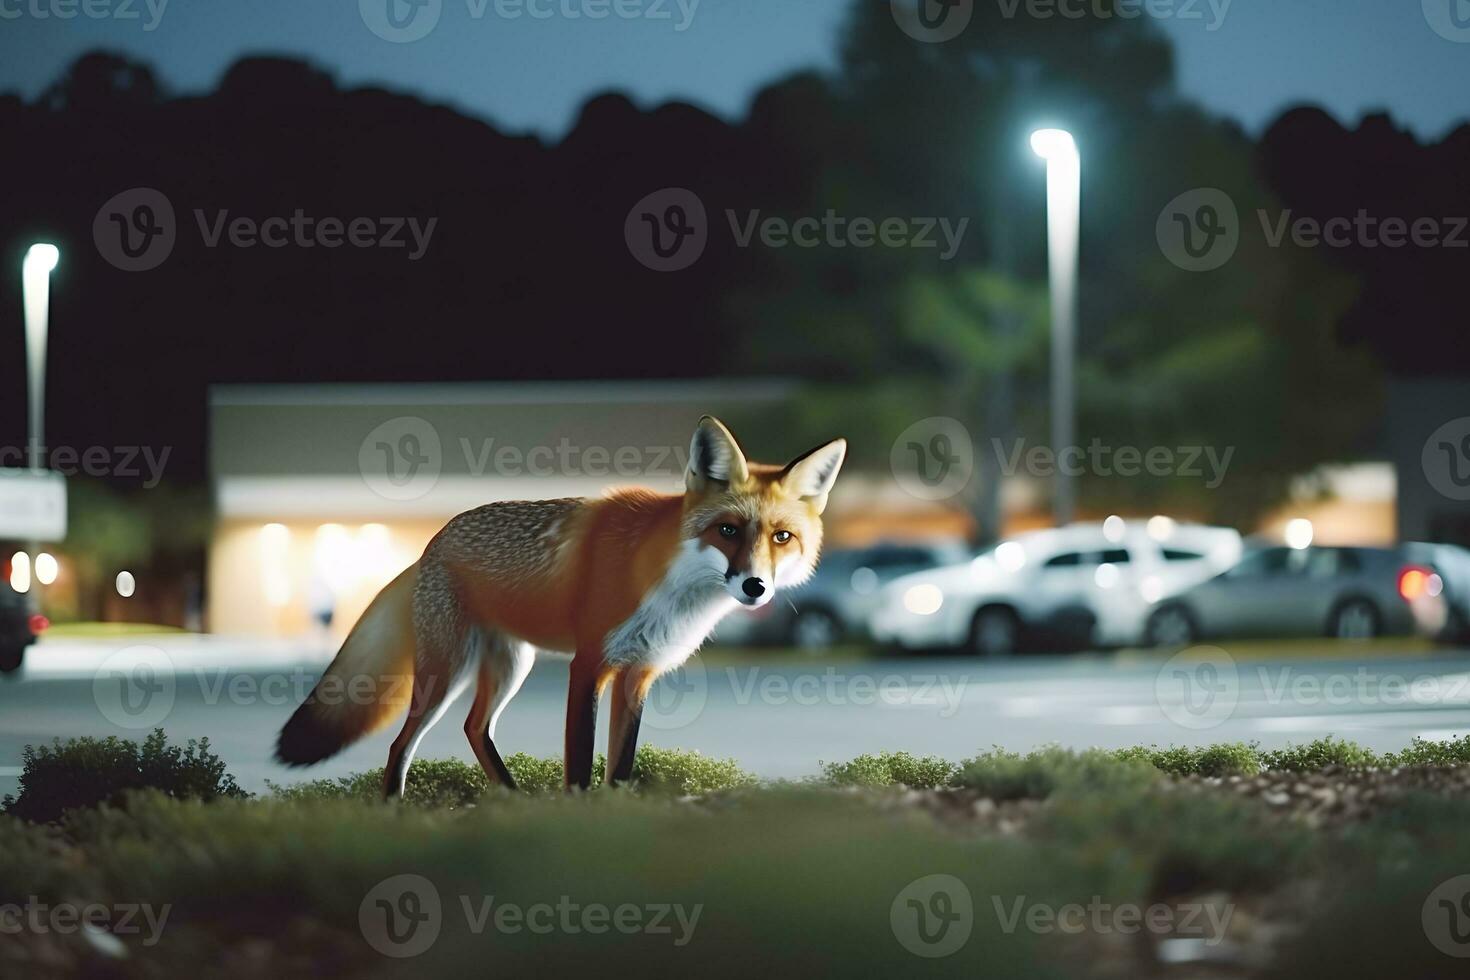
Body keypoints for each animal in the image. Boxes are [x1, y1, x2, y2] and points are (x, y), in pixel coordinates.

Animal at [277, 417, 852, 799]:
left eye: (782, 537)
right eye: (727, 531)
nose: (755, 586)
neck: (668, 586)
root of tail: (429, 546)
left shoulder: (638, 673)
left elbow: (620, 764)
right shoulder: (590, 664)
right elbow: (578, 763)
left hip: (511, 666)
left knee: (473, 728)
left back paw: (511, 800)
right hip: (448, 670)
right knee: (401, 746)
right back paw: (396, 810)